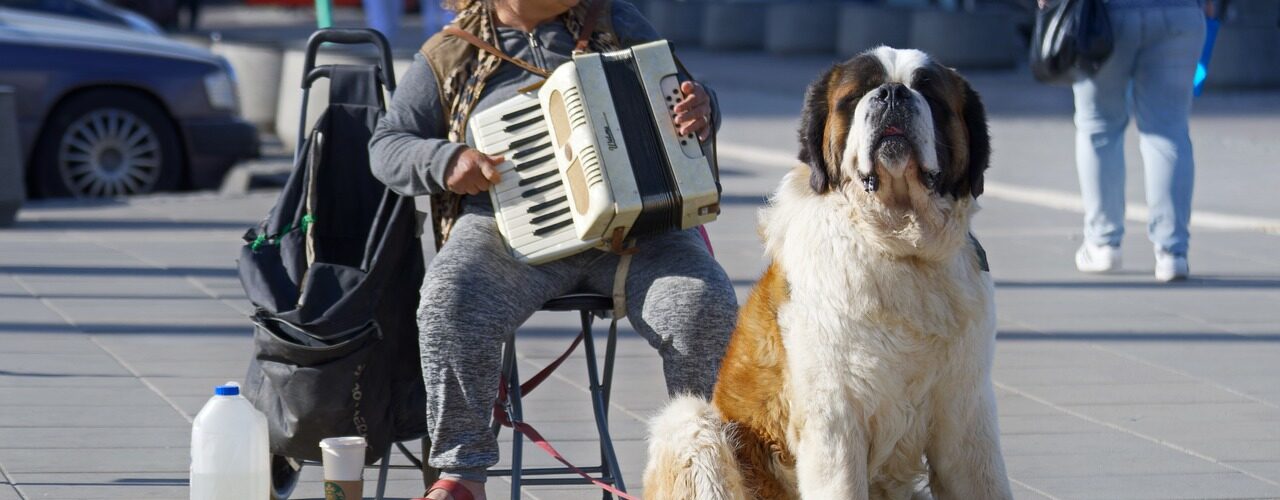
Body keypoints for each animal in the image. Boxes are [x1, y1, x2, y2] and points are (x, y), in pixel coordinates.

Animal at [645, 46, 1013, 496]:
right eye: (855, 97)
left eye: (928, 91)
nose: (893, 93)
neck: (900, 247)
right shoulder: (835, 422)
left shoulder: (965, 416)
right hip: (693, 423)